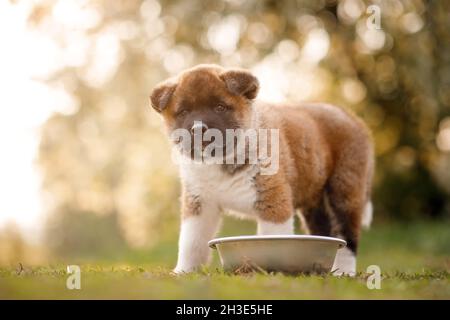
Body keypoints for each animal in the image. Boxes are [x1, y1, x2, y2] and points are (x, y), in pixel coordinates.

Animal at [149, 64, 374, 276]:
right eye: (184, 112)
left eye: (220, 107)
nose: (198, 129)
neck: (222, 160)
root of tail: (351, 116)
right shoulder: (200, 203)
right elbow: (191, 242)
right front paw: (184, 271)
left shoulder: (273, 201)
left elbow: (275, 240)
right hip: (315, 201)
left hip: (344, 193)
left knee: (347, 238)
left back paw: (344, 271)